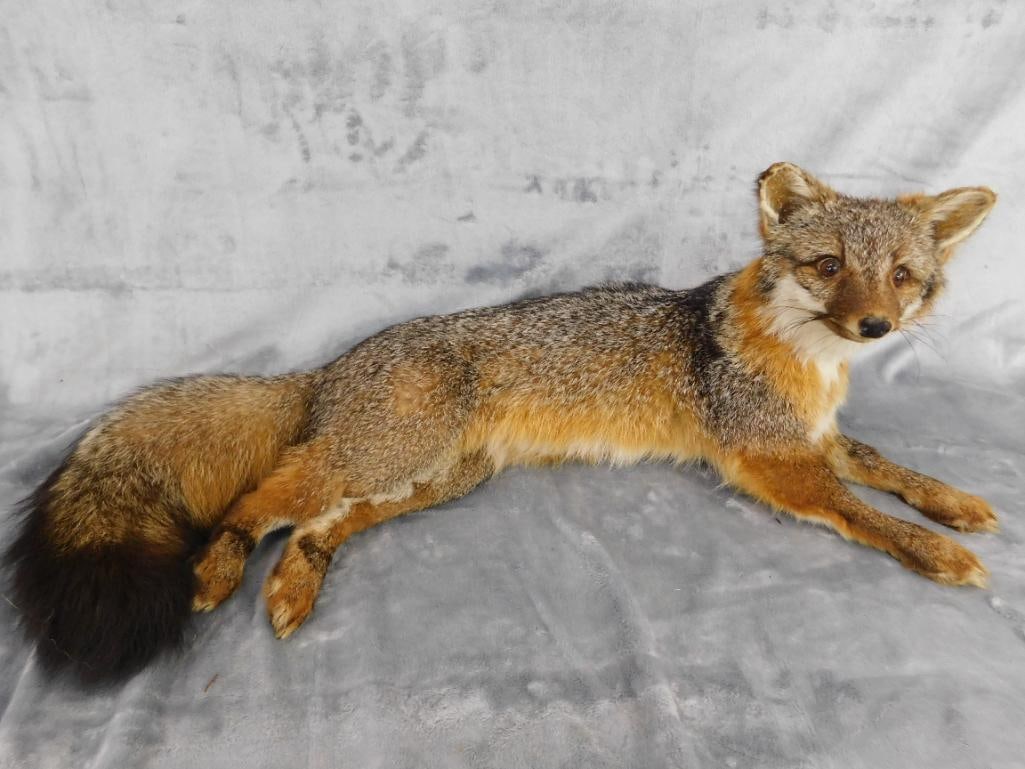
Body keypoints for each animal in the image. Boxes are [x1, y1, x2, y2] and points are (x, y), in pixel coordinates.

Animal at [4, 162, 999, 684]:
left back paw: (292, 587)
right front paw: (936, 550)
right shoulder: (769, 458)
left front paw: (954, 503)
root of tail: (333, 363)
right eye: (827, 266)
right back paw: (221, 570)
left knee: (320, 522)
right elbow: (860, 508)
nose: (875, 328)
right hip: (386, 456)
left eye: (901, 277)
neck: (805, 362)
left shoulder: (811, 439)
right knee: (260, 499)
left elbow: (890, 467)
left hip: (436, 475)